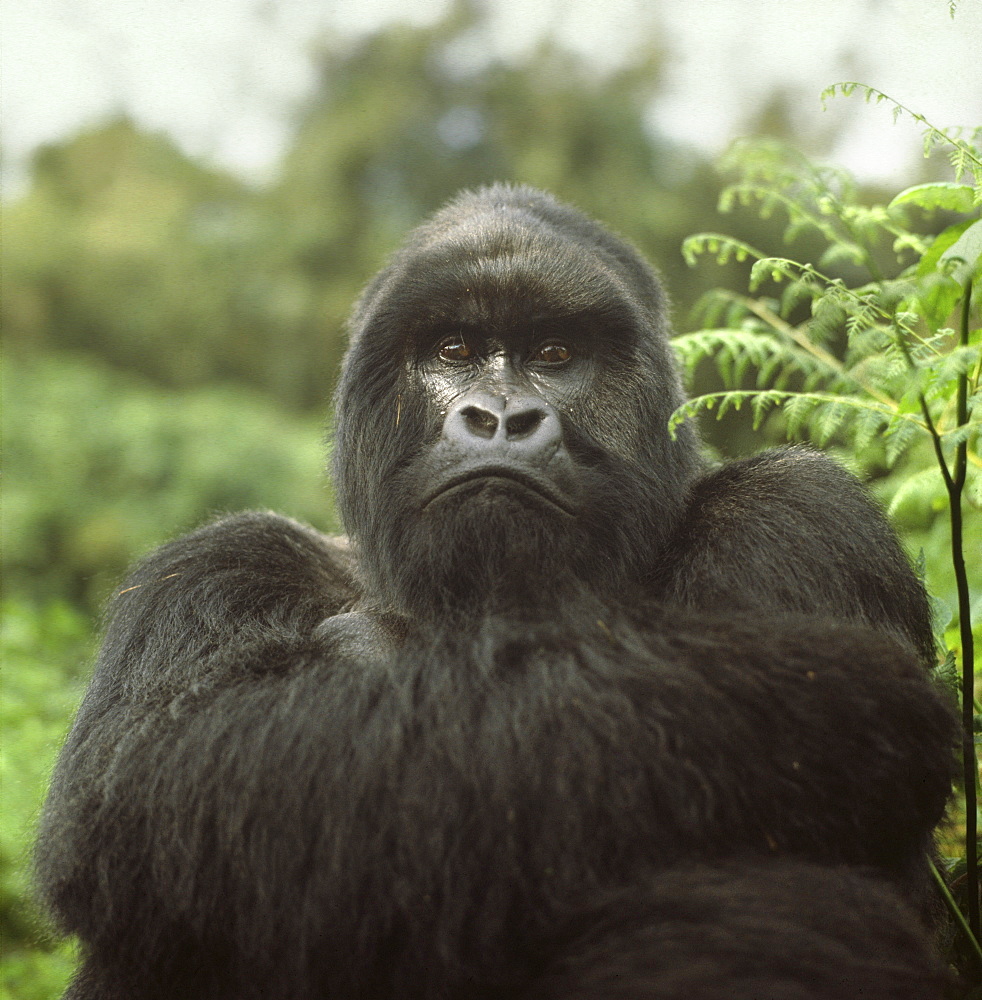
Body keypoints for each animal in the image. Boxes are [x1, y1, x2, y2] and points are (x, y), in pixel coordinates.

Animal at [40, 184, 960, 996]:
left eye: (555, 354)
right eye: (452, 350)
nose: (501, 418)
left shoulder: (798, 514)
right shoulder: (215, 568)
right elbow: (155, 771)